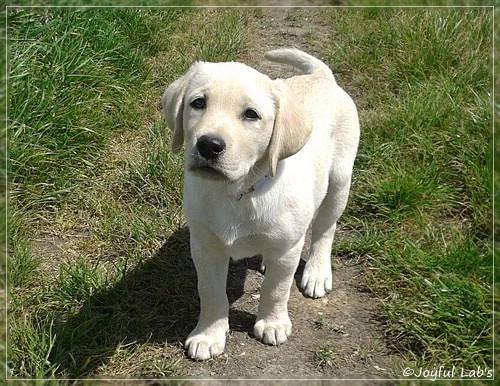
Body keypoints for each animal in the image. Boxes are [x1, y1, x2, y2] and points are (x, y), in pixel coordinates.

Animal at [163, 49, 360, 362]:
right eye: (198, 103)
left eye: (251, 115)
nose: (208, 145)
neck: (237, 190)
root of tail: (320, 76)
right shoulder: (205, 246)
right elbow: (211, 292)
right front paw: (209, 335)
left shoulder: (287, 247)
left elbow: (276, 289)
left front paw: (272, 323)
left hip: (340, 180)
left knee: (325, 229)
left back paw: (317, 272)